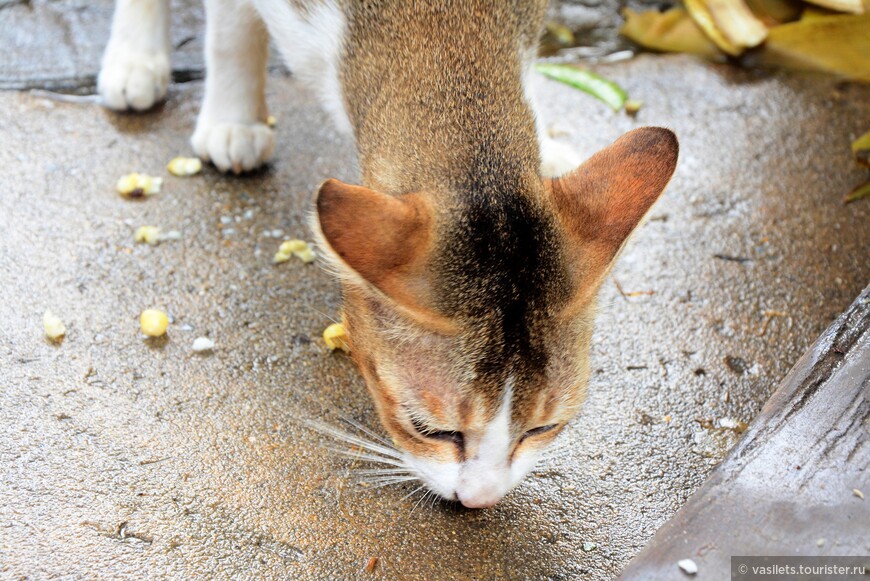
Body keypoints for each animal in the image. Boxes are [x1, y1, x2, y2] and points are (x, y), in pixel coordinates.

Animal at [99, 0, 676, 508]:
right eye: (428, 428)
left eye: (543, 427)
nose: (480, 499)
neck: (447, 38)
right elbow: (230, 34)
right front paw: (232, 118)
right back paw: (135, 58)